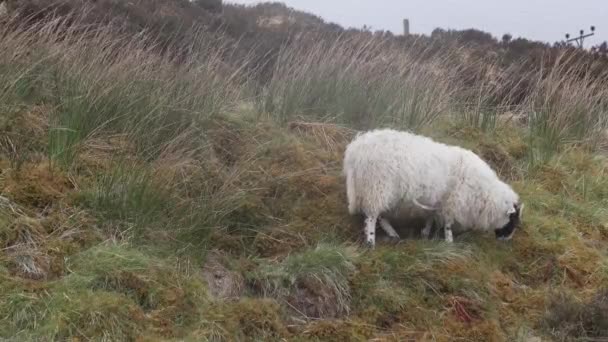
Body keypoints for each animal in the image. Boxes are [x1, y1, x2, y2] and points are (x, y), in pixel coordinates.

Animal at [342, 127, 524, 246]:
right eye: (512, 220)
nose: (506, 239)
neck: (485, 193)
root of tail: (355, 150)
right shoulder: (452, 203)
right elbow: (448, 224)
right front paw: (449, 242)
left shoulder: (436, 201)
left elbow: (431, 218)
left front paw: (425, 233)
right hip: (377, 187)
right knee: (372, 216)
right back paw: (371, 241)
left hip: (379, 191)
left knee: (380, 215)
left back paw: (392, 234)